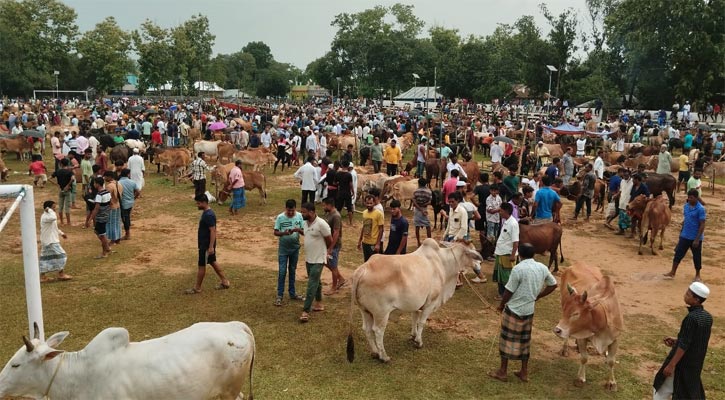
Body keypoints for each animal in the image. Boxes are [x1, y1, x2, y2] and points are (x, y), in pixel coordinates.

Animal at [348, 239, 484, 364]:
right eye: (472, 252)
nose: (479, 267)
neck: (443, 262)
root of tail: (363, 269)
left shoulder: (417, 304)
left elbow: (414, 318)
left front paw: (413, 336)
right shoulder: (430, 303)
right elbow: (421, 322)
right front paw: (418, 342)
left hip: (365, 311)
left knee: (367, 329)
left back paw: (375, 352)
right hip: (381, 313)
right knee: (378, 331)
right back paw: (384, 356)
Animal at [556, 262, 624, 390]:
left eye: (576, 313)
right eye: (565, 310)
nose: (557, 330)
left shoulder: (615, 339)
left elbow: (611, 361)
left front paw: (611, 383)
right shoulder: (582, 336)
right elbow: (584, 358)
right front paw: (580, 379)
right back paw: (565, 349)